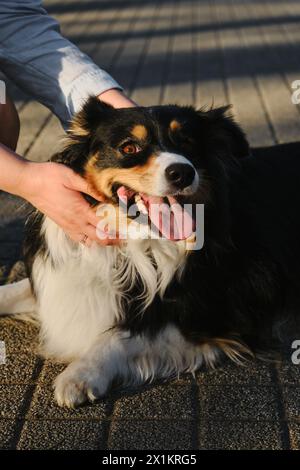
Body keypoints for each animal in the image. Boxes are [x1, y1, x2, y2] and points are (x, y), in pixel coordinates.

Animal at [0, 98, 300, 408]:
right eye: (129, 148)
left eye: (187, 141)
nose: (183, 172)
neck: (132, 239)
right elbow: (15, 290)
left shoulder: (212, 311)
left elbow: (124, 334)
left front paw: (80, 374)